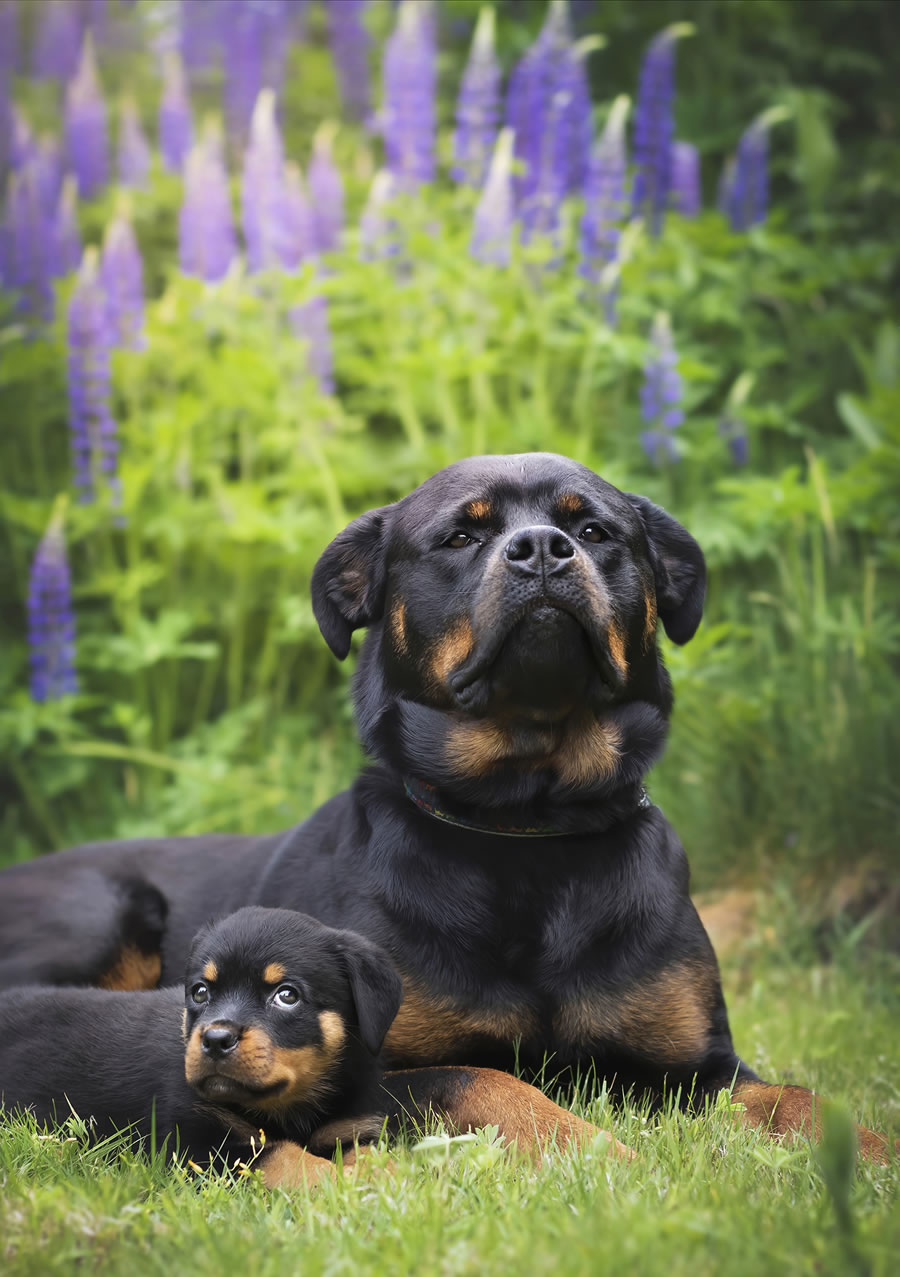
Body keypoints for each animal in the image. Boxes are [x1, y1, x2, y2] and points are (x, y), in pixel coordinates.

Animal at [0, 454, 893, 1164]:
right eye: (462, 537)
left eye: (596, 529)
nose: (543, 548)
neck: (528, 824)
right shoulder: (378, 1065)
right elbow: (490, 1080)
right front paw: (591, 1147)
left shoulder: (699, 1067)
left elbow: (797, 1098)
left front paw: (873, 1149)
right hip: (99, 912)